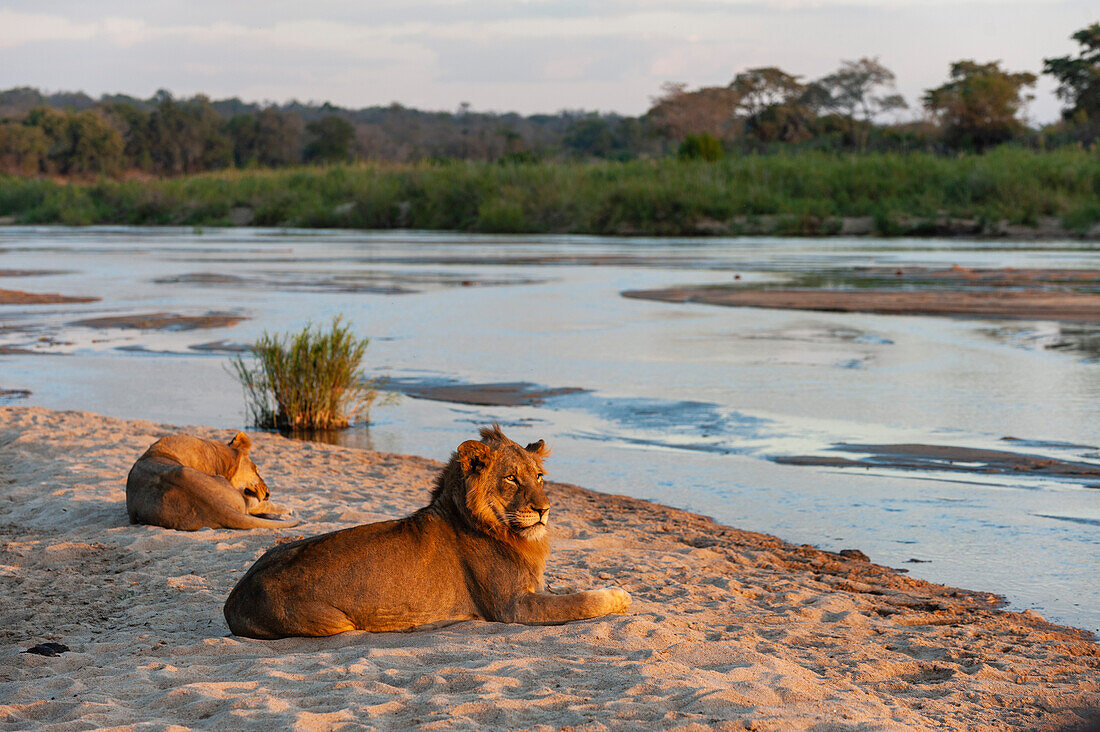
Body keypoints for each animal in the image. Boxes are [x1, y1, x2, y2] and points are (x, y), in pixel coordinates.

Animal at [223, 424, 633, 638]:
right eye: (512, 479)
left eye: (540, 477)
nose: (544, 510)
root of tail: (233, 599)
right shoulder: (513, 606)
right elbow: (581, 602)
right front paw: (619, 595)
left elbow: (567, 590)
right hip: (335, 622)